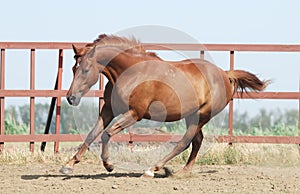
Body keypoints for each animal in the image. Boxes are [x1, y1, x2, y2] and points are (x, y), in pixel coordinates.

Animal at [59, 34, 270, 177]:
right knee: (197, 141)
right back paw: (183, 171)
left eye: (86, 70)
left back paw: (153, 169)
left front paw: (108, 164)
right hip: (192, 116)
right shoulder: (108, 110)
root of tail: (225, 74)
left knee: (185, 142)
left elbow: (106, 134)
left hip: (201, 116)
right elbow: (92, 134)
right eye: (73, 68)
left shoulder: (135, 113)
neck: (130, 72)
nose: (71, 98)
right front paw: (68, 165)